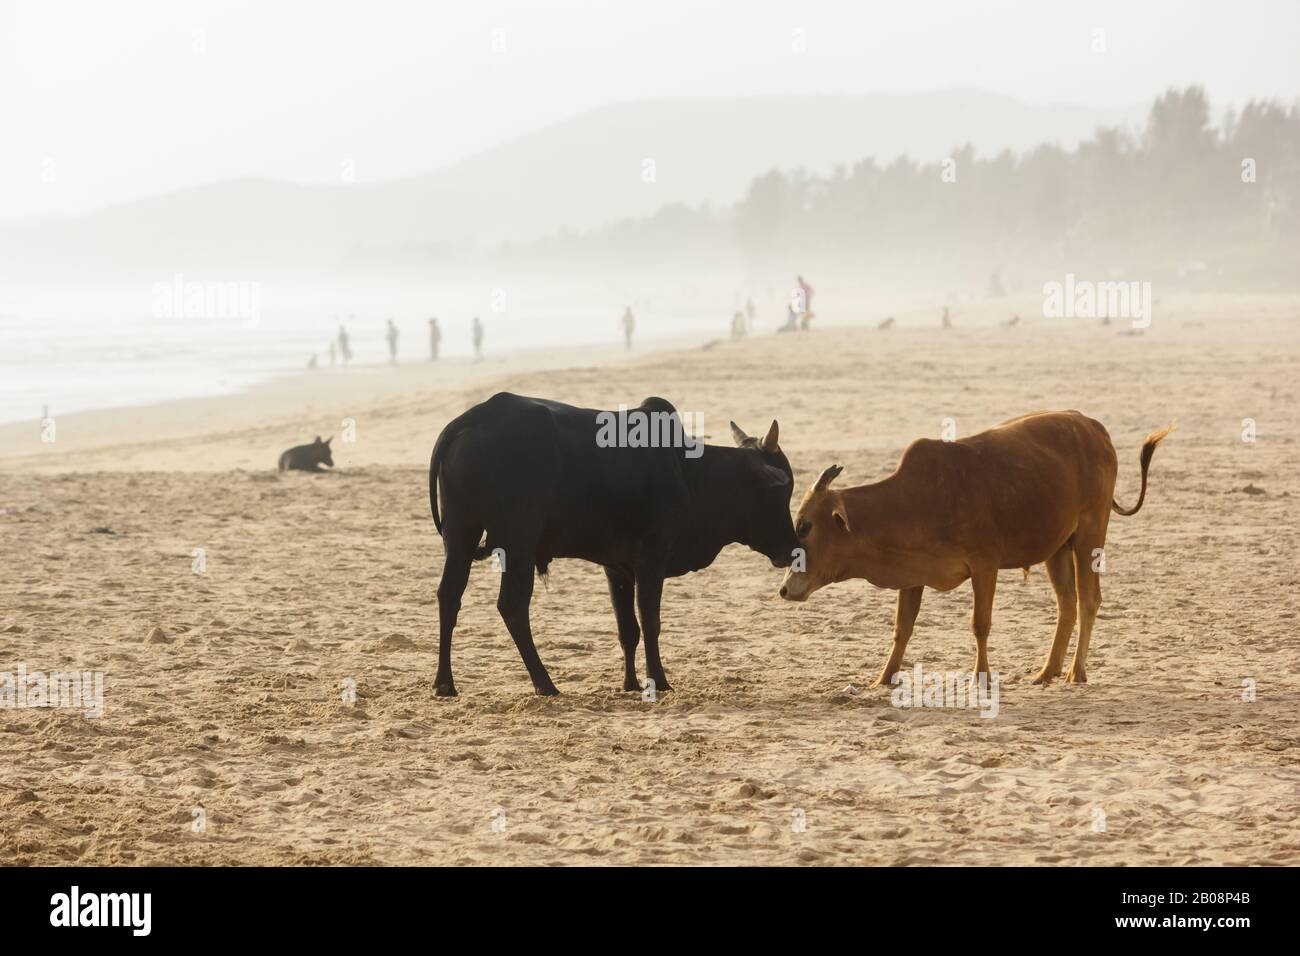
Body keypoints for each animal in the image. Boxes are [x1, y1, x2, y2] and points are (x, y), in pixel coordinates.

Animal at [428, 392, 790, 697]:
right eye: (779, 492)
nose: (791, 548)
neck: (689, 472)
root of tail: (477, 415)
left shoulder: (616, 568)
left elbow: (628, 628)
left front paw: (630, 683)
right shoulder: (651, 559)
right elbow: (651, 622)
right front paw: (659, 681)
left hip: (460, 535)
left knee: (449, 596)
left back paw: (445, 683)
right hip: (519, 543)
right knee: (512, 606)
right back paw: (545, 683)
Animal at [774, 411, 1175, 686]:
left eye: (805, 526)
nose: (784, 589)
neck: (913, 500)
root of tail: (1093, 427)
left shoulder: (985, 566)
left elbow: (980, 624)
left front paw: (981, 676)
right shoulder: (912, 575)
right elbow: (902, 628)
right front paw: (883, 678)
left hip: (1090, 536)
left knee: (1089, 600)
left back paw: (1076, 671)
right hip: (1057, 549)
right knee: (1067, 605)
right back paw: (1047, 670)